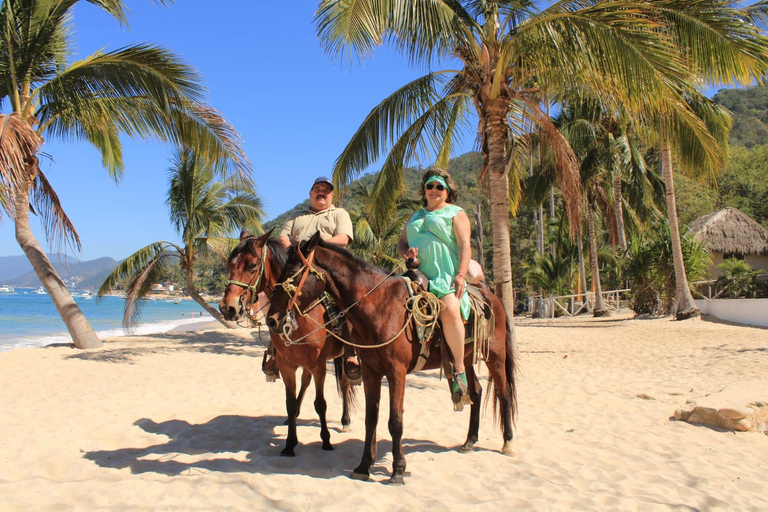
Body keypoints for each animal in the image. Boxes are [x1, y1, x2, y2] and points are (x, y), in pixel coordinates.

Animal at [219, 230, 356, 458]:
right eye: (229, 264)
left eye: (252, 265)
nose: (227, 308)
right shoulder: (286, 365)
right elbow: (290, 403)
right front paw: (290, 443)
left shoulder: (319, 366)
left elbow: (320, 404)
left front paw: (326, 440)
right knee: (306, 382)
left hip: (342, 356)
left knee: (345, 383)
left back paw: (346, 421)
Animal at [268, 232, 520, 484]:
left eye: (290, 272)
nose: (272, 319)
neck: (379, 306)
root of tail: (491, 296)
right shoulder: (370, 371)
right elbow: (371, 418)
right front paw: (364, 466)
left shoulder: (396, 372)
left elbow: (395, 421)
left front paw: (398, 470)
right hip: (466, 359)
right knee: (476, 392)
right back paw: (469, 441)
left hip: (495, 357)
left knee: (504, 393)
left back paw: (508, 442)